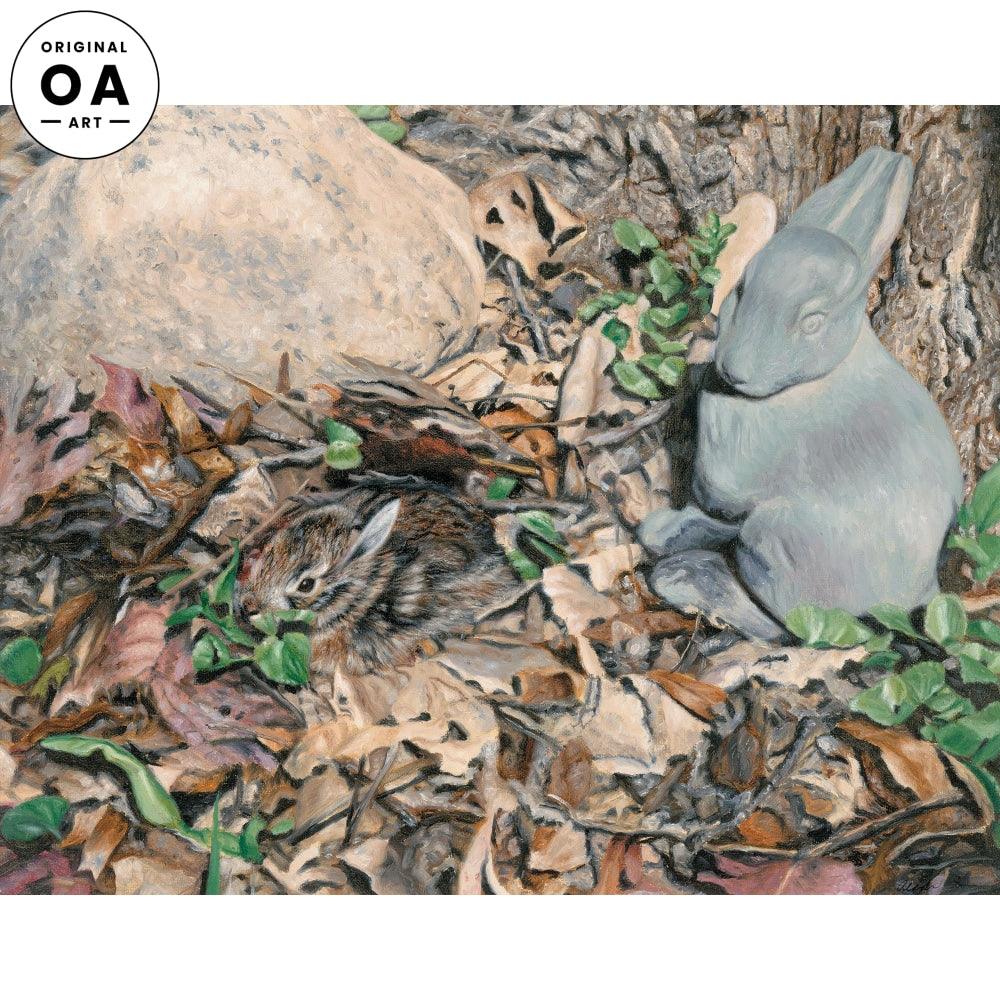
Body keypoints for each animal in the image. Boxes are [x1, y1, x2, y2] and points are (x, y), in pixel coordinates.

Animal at [639, 148, 964, 642]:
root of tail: (910, 601)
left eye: (813, 321)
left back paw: (686, 578)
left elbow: (706, 510)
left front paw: (653, 532)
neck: (813, 377)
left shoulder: (730, 486)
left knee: (789, 630)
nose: (735, 368)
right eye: (741, 289)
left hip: (770, 541)